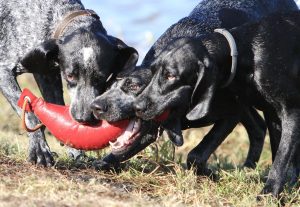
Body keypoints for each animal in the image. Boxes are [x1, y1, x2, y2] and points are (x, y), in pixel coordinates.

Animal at [0, 0, 138, 166]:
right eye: (70, 76)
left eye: (102, 78)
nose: (83, 118)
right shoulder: (4, 70)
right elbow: (29, 112)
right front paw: (39, 148)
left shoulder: (47, 74)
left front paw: (75, 150)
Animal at [134, 11, 300, 197]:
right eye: (153, 71)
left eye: (171, 76)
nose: (137, 106)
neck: (246, 53)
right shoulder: (272, 112)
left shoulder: (291, 111)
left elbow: (282, 156)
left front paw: (270, 193)